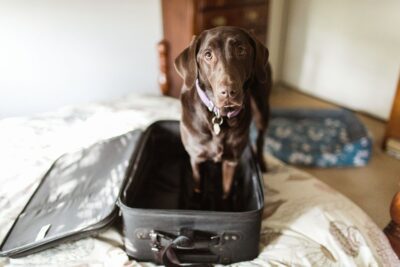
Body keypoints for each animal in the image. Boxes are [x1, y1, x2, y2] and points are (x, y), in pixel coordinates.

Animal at [173, 26, 270, 200]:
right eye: (208, 55)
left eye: (241, 50)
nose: (229, 92)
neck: (218, 116)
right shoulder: (196, 158)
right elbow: (198, 187)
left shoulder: (231, 161)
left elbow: (226, 192)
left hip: (262, 107)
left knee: (260, 138)